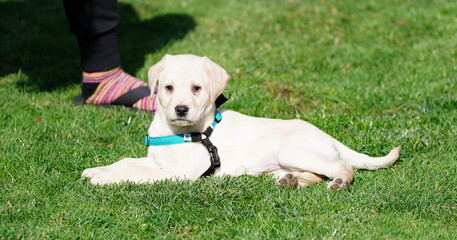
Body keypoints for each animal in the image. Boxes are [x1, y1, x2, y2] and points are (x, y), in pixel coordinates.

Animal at [83, 54, 400, 189]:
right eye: (168, 88)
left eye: (197, 88)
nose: (181, 109)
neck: (181, 131)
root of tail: (329, 137)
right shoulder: (157, 160)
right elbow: (128, 162)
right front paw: (99, 170)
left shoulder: (178, 172)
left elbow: (138, 174)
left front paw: (105, 179)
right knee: (314, 174)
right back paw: (287, 180)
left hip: (293, 150)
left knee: (342, 168)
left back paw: (339, 182)